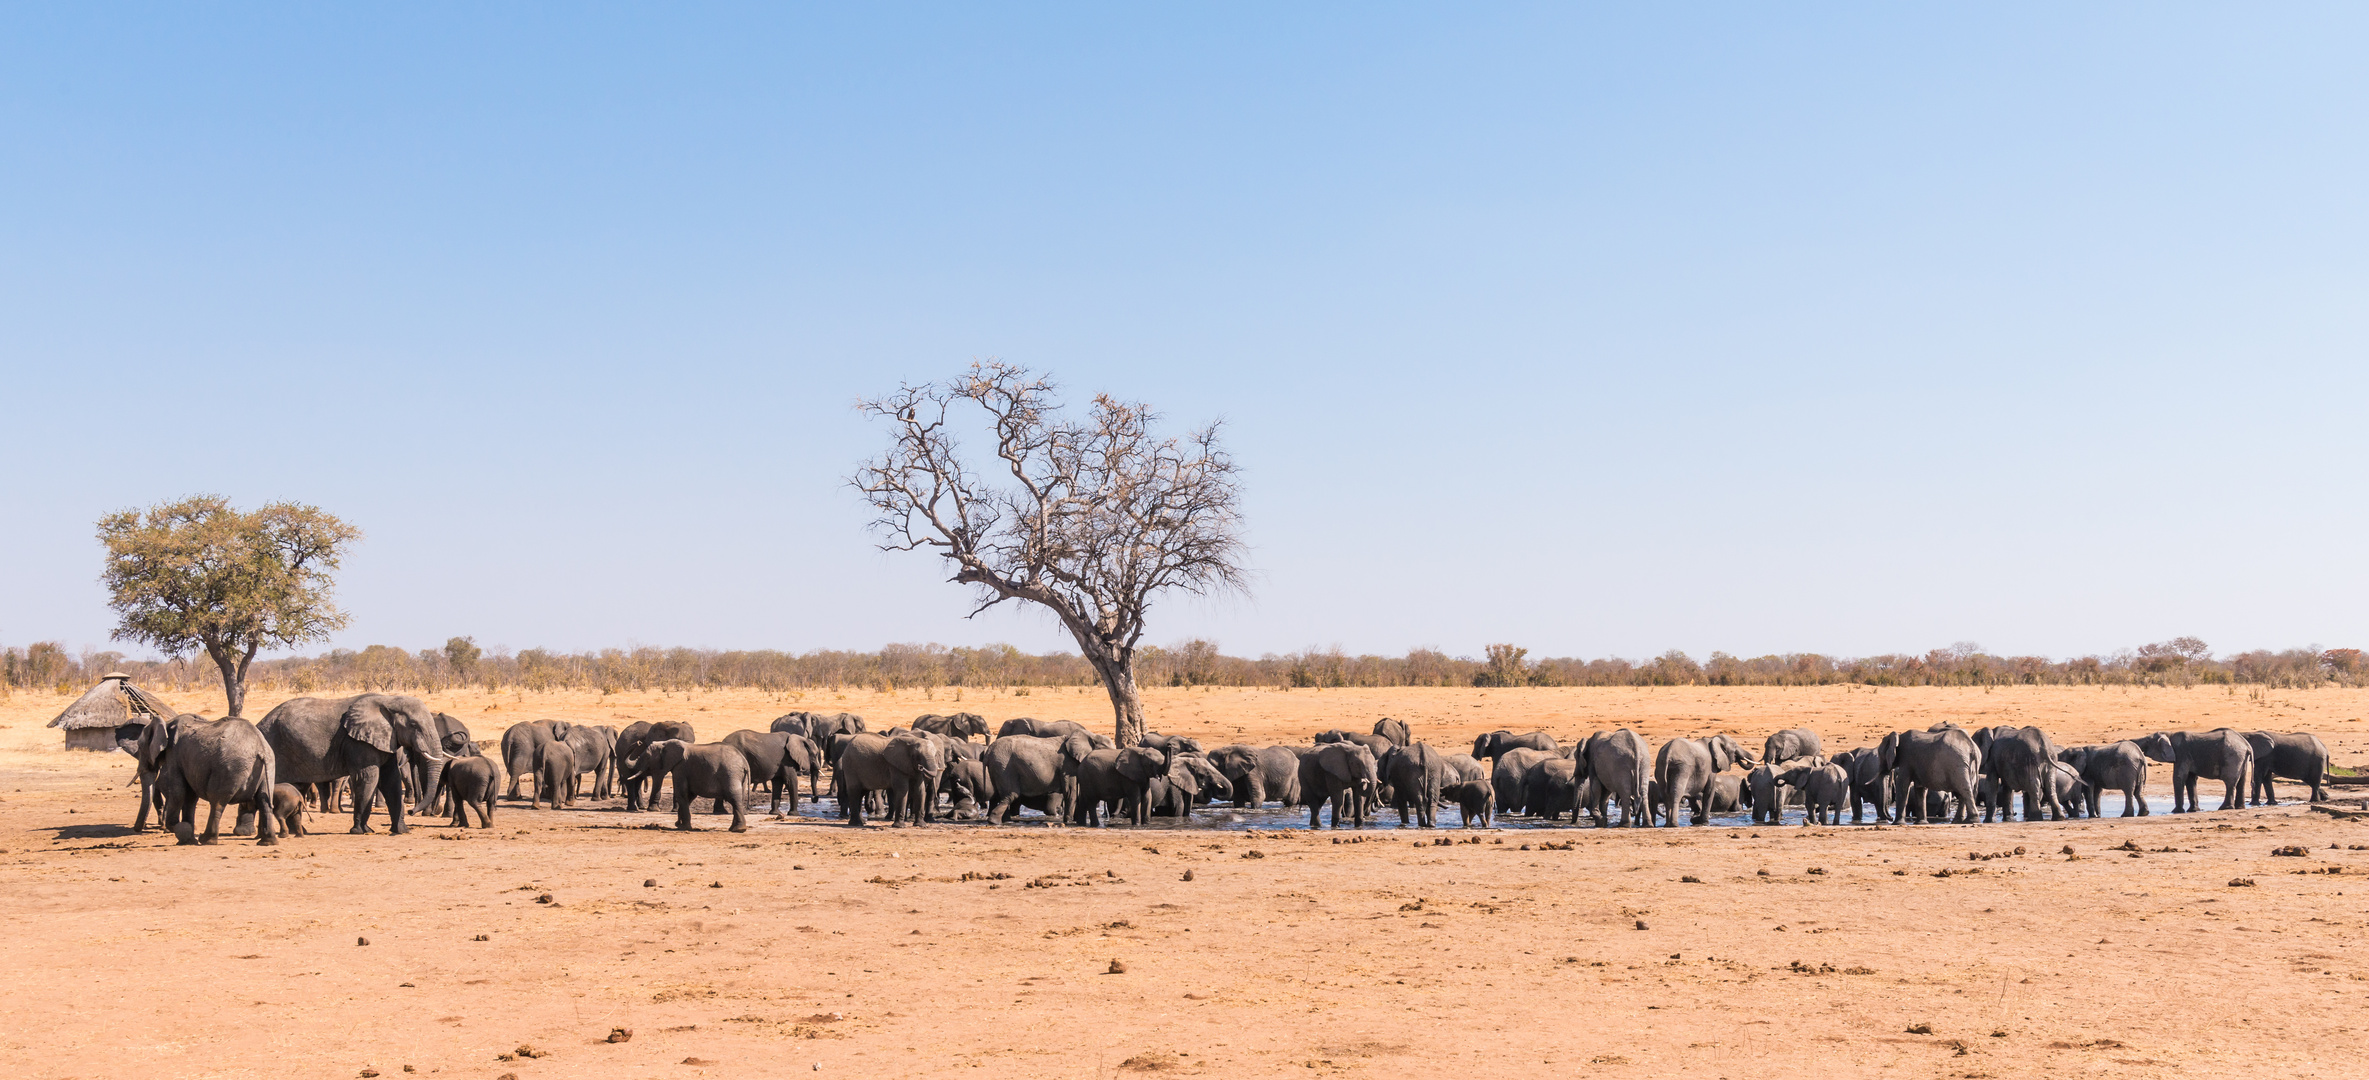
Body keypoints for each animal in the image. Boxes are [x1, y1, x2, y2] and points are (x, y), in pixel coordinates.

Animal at [139, 715, 280, 847]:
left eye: (140, 747)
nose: (137, 830)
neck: (167, 723)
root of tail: (260, 748)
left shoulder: (174, 755)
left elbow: (178, 792)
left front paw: (183, 829)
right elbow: (190, 797)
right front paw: (188, 838)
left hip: (228, 769)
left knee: (217, 802)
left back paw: (206, 840)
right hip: (268, 767)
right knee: (265, 802)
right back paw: (268, 842)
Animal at [257, 691, 450, 833]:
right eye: (414, 725)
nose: (412, 811)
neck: (389, 699)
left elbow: (391, 780)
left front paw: (401, 831)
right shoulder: (358, 743)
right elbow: (368, 778)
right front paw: (361, 831)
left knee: (297, 787)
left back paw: (298, 831)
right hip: (274, 746)